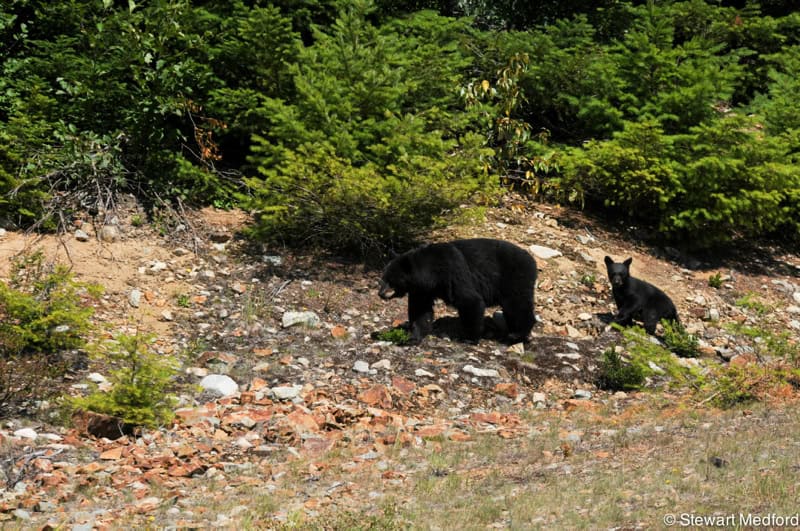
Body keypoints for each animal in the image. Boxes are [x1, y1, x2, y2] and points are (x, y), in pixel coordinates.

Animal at [380, 240, 536, 344]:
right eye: (383, 278)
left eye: (391, 281)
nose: (380, 294)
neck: (432, 273)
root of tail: (532, 260)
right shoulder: (422, 289)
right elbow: (420, 310)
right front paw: (413, 336)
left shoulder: (453, 272)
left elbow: (470, 300)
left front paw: (469, 338)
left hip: (514, 278)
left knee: (517, 305)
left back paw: (517, 334)